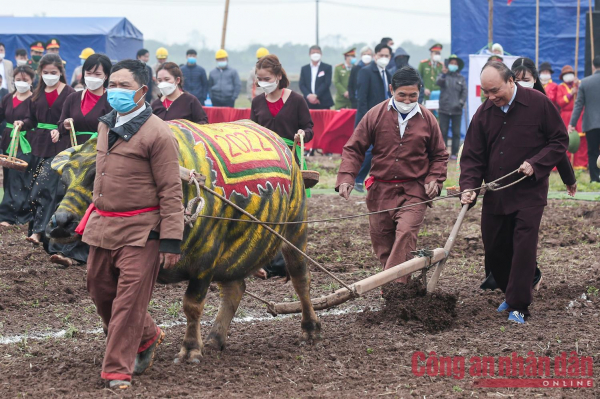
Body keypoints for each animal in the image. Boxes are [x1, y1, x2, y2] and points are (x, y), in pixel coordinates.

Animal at [47, 118, 322, 362]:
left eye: (95, 176)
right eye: (64, 180)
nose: (60, 222)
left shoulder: (205, 260)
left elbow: (192, 305)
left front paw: (190, 349)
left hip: (295, 229)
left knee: (301, 278)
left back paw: (310, 329)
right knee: (235, 289)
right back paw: (215, 338)